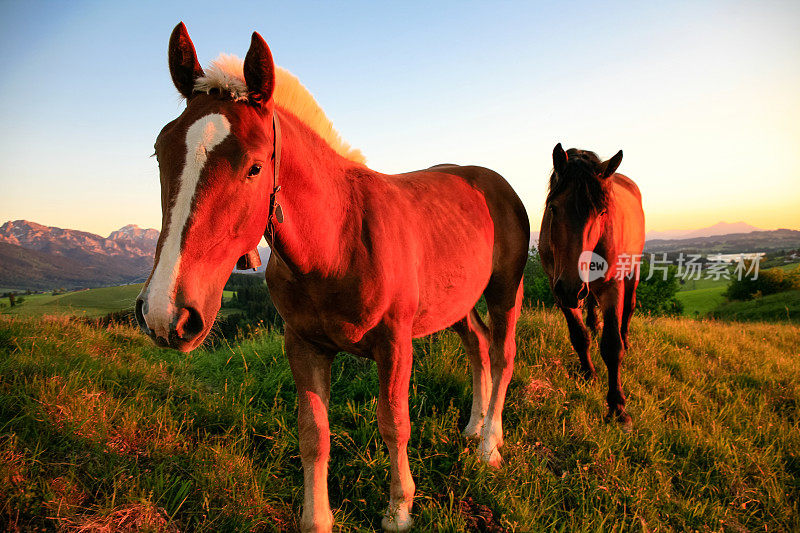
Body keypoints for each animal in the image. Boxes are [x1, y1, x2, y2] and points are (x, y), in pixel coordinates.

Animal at [138, 22, 532, 528]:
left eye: (255, 166)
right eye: (160, 153)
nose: (166, 314)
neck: (338, 244)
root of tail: (492, 182)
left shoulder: (395, 342)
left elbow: (394, 423)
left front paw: (399, 509)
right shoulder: (304, 344)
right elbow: (313, 433)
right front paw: (317, 519)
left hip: (504, 292)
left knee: (502, 355)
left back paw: (489, 446)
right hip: (456, 303)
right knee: (478, 346)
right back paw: (473, 427)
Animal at [536, 145, 644, 428]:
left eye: (602, 212)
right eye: (553, 208)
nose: (571, 288)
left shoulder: (611, 285)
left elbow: (612, 346)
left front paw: (617, 407)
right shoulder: (557, 287)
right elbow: (579, 335)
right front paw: (588, 373)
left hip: (632, 271)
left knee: (629, 308)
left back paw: (626, 338)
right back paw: (595, 324)